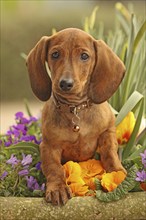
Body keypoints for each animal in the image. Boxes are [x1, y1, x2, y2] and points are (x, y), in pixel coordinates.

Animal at [26, 27, 126, 205]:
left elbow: (110, 154)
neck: (75, 109)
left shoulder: (107, 132)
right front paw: (58, 188)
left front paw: (117, 173)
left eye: (84, 56)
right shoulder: (49, 146)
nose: (65, 83)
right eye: (55, 54)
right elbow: (54, 168)